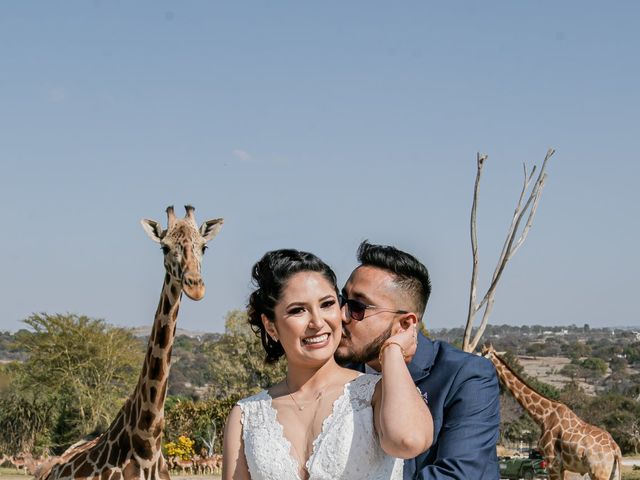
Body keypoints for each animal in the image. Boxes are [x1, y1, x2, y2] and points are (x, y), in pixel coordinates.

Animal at [482, 344, 624, 480]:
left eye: (482, 353)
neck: (543, 416)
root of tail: (615, 450)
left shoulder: (552, 462)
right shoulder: (560, 466)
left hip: (598, 472)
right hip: (612, 472)